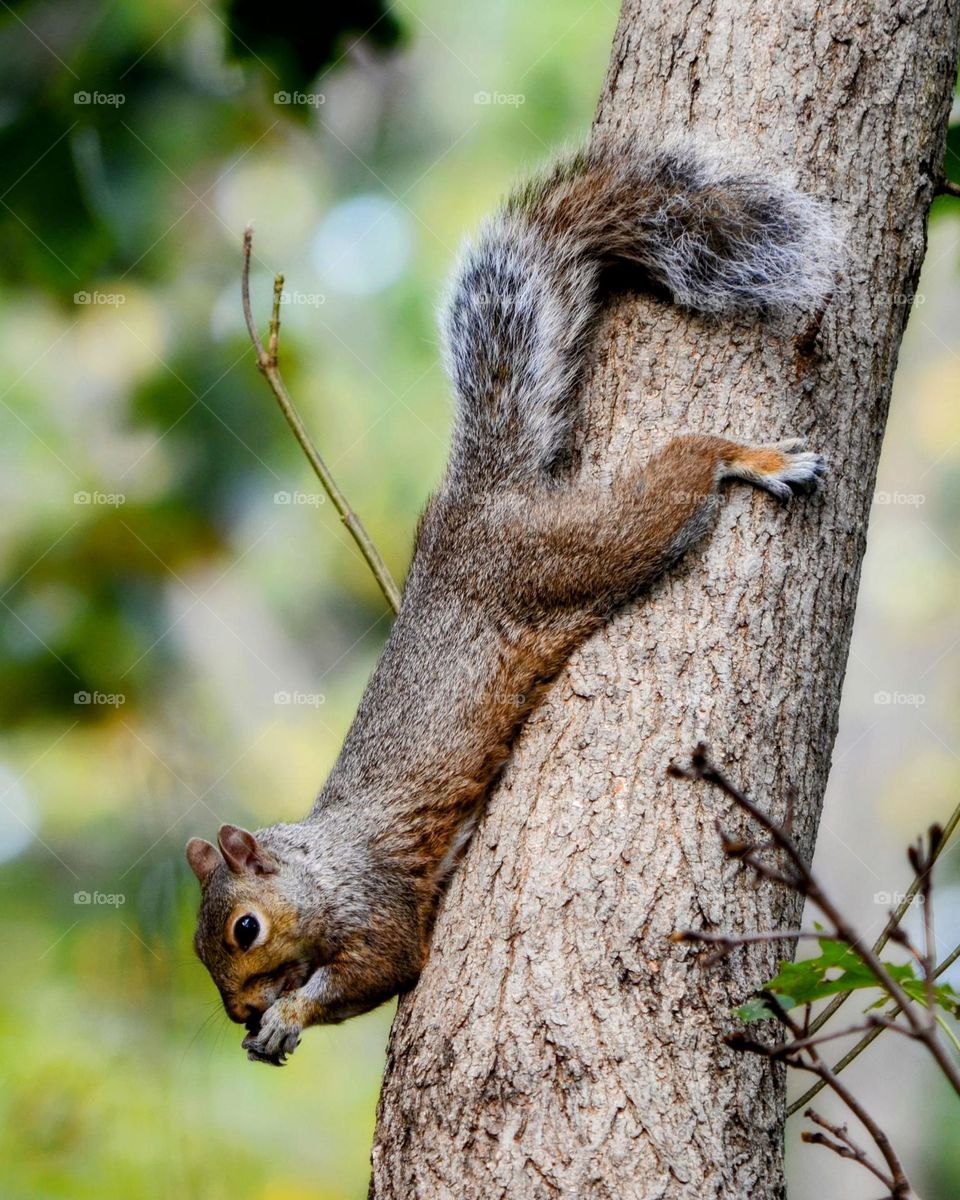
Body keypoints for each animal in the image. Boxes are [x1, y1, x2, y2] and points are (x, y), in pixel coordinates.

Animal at [186, 140, 836, 1065]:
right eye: (199, 947)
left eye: (244, 929)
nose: (238, 1012)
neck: (321, 870)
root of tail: (476, 503)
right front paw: (272, 1027)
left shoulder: (378, 904)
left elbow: (382, 968)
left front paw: (289, 1014)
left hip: (572, 551)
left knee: (683, 467)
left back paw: (758, 459)